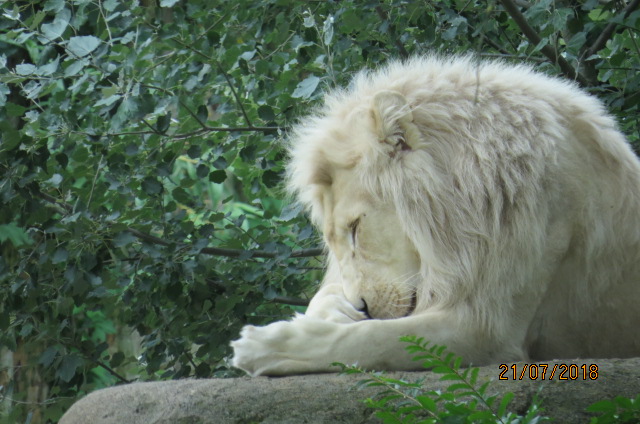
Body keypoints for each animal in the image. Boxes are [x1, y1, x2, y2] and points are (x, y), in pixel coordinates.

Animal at [231, 55, 640, 376]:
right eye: (334, 240)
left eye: (356, 228)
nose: (361, 305)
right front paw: (335, 309)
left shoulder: (486, 330)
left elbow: (372, 340)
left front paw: (262, 346)